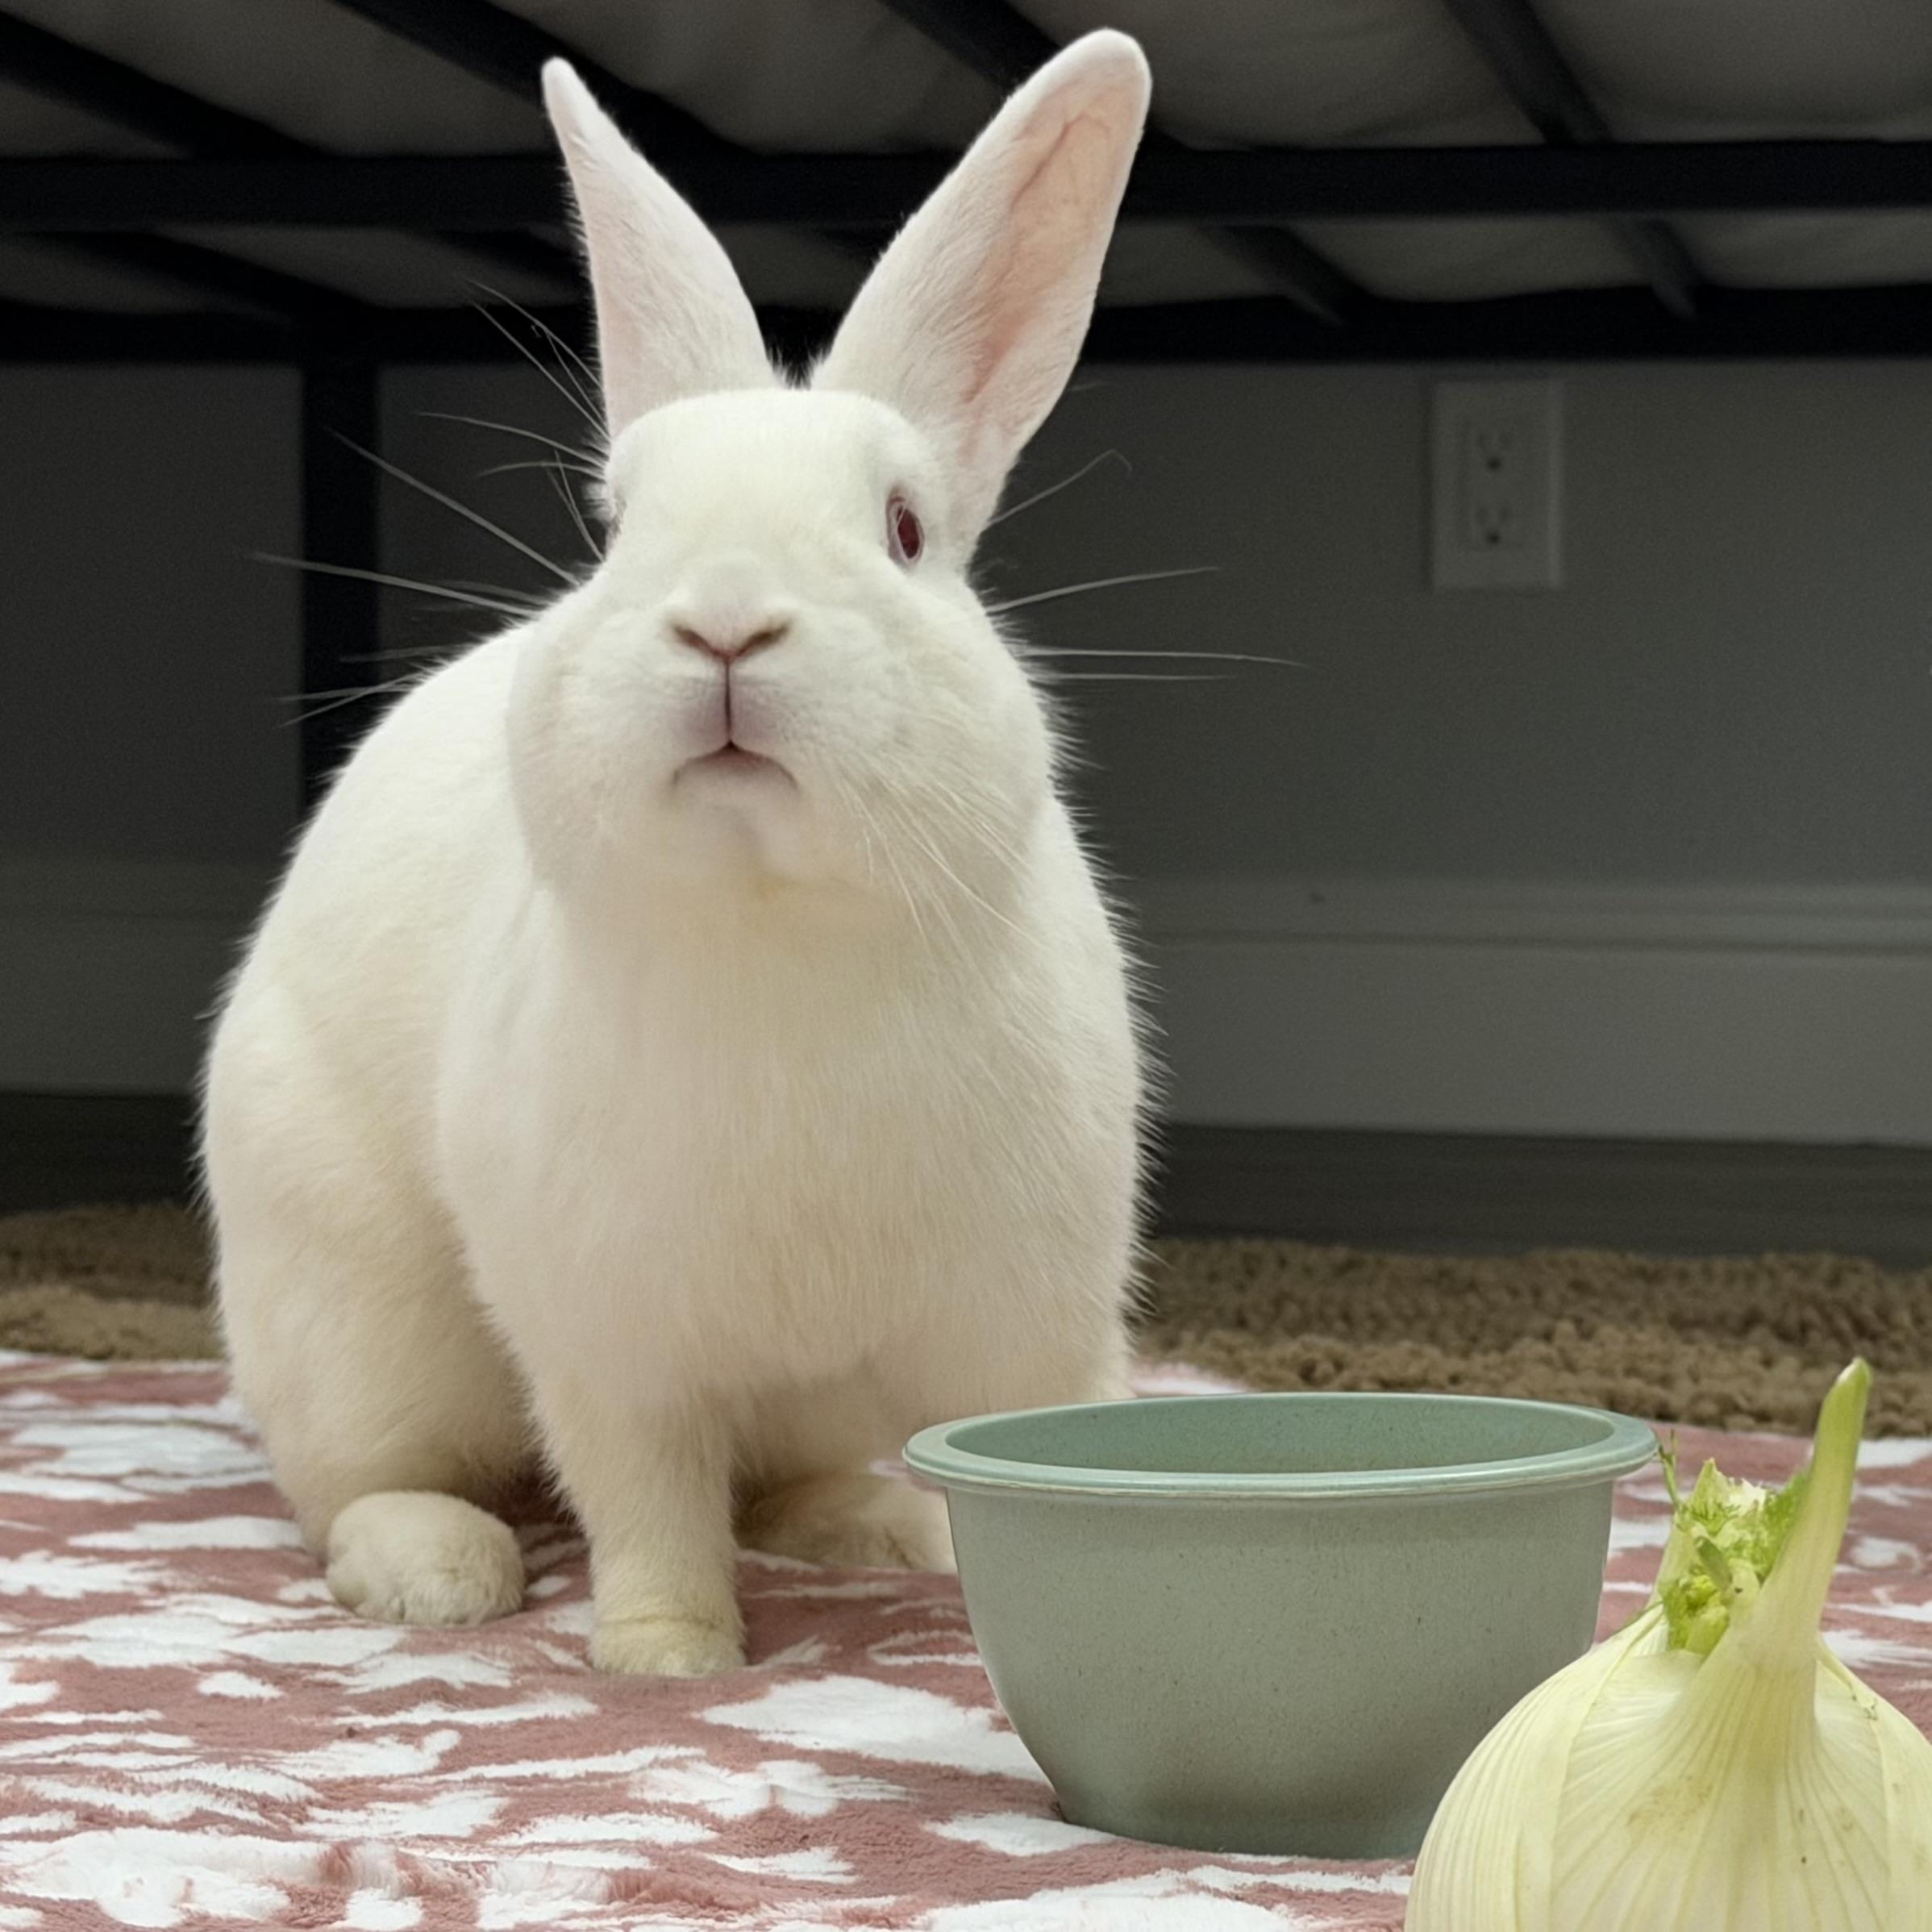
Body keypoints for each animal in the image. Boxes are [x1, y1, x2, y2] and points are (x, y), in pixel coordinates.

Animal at [201, 30, 1152, 1677]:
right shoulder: (606, 1343)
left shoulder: (1030, 1314)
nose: (722, 620)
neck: (772, 932)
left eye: (906, 529)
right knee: (361, 1487)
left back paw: (877, 1530)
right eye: (616, 529)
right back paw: (439, 1572)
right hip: (351, 1324)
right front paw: (668, 1656)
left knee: (784, 1477)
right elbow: (642, 1497)